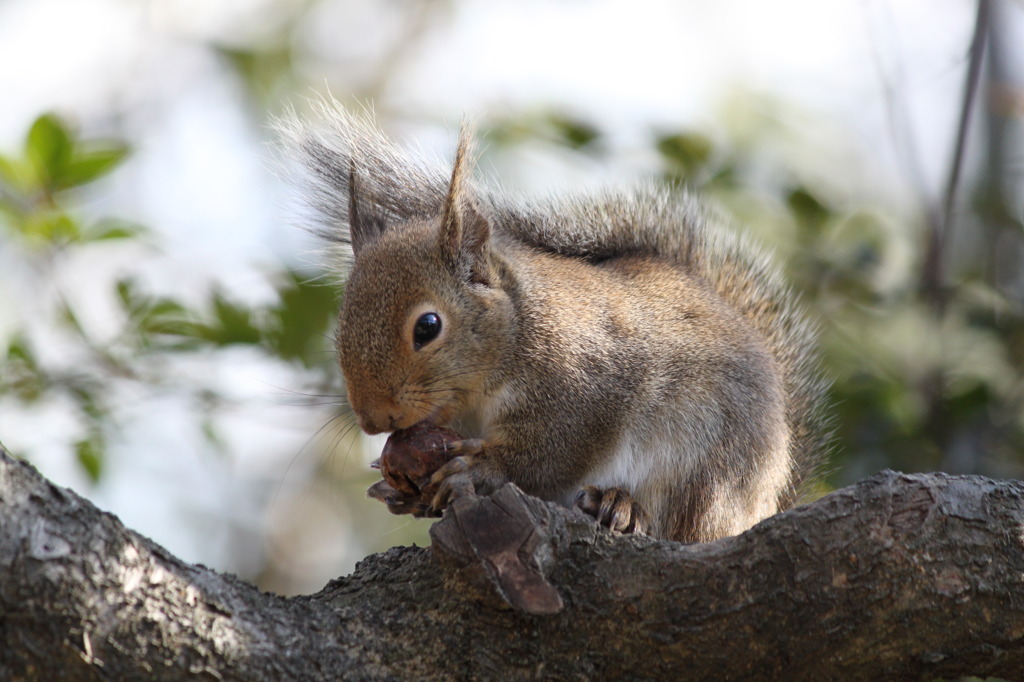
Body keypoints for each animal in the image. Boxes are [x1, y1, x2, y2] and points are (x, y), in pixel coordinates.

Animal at [284, 106, 827, 540]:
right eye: (341, 325)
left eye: (428, 327)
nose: (374, 420)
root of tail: (762, 504)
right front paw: (398, 488)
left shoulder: (586, 390)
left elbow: (550, 453)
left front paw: (479, 470)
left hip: (710, 469)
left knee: (683, 523)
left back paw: (623, 507)